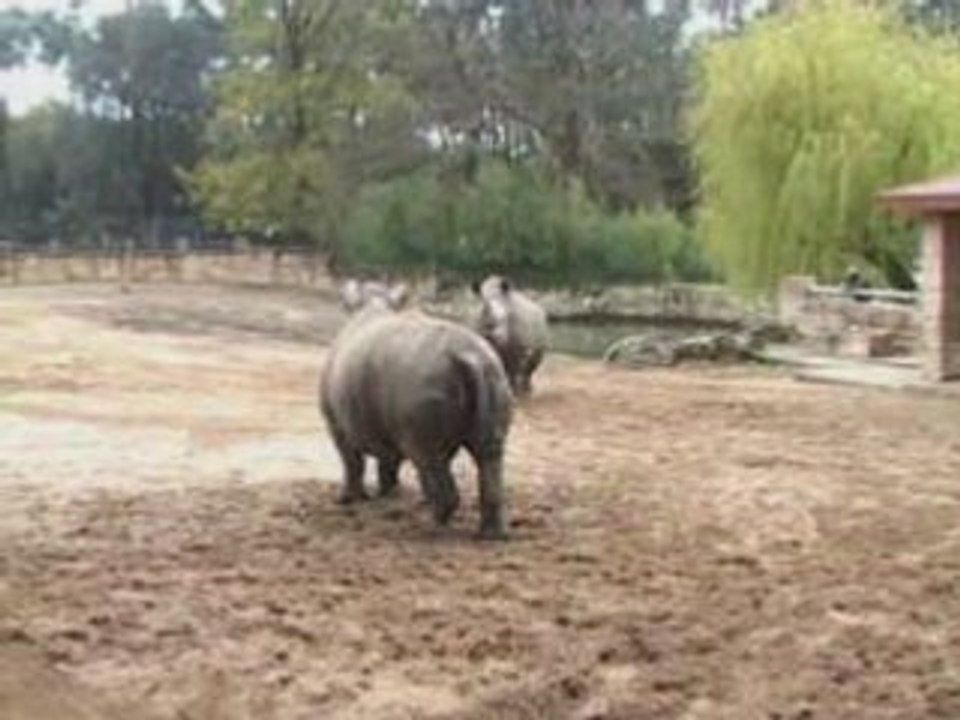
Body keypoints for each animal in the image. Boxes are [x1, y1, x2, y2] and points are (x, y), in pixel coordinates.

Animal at [319, 280, 514, 540]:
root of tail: (471, 356)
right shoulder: (387, 426)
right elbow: (388, 462)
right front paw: (388, 496)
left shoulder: (335, 424)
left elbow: (352, 462)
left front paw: (347, 500)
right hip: (495, 375)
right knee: (488, 454)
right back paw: (491, 535)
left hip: (423, 387)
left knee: (429, 463)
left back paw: (428, 529)